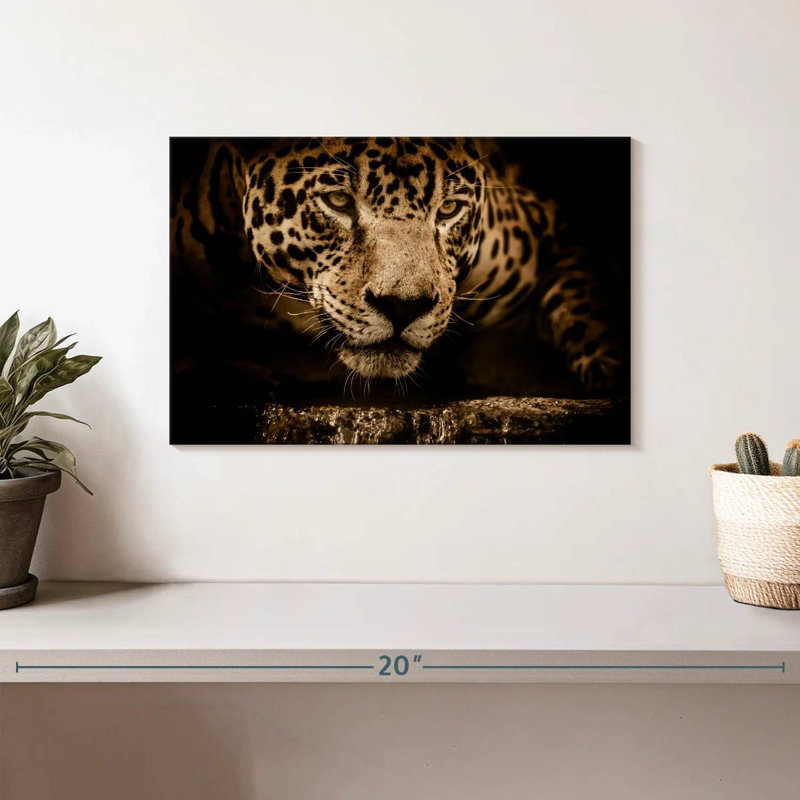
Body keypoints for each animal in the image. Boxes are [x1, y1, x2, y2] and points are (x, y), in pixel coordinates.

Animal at [171, 137, 627, 394]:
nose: (403, 306)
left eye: (449, 209)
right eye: (338, 201)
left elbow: (586, 303)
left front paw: (610, 369)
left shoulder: (550, 225)